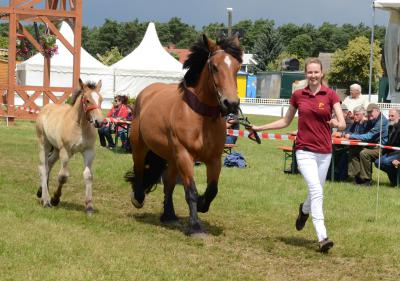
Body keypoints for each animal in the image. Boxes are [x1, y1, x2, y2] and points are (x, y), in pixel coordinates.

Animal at [36, 79, 104, 214]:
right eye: (87, 100)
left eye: (101, 99)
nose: (99, 122)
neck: (79, 126)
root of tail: (45, 108)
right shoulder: (65, 151)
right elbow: (63, 176)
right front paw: (55, 199)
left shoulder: (89, 151)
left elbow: (88, 176)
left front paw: (89, 206)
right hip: (45, 144)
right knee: (42, 167)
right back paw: (46, 200)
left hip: (56, 149)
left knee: (48, 164)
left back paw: (41, 191)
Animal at [126, 35, 242, 234]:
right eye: (214, 67)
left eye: (237, 67)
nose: (231, 103)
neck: (201, 119)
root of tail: (146, 93)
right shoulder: (185, 155)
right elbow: (192, 191)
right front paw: (195, 226)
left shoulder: (214, 159)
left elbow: (212, 190)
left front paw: (202, 205)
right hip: (141, 146)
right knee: (140, 169)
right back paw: (138, 198)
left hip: (172, 158)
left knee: (168, 184)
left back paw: (169, 215)